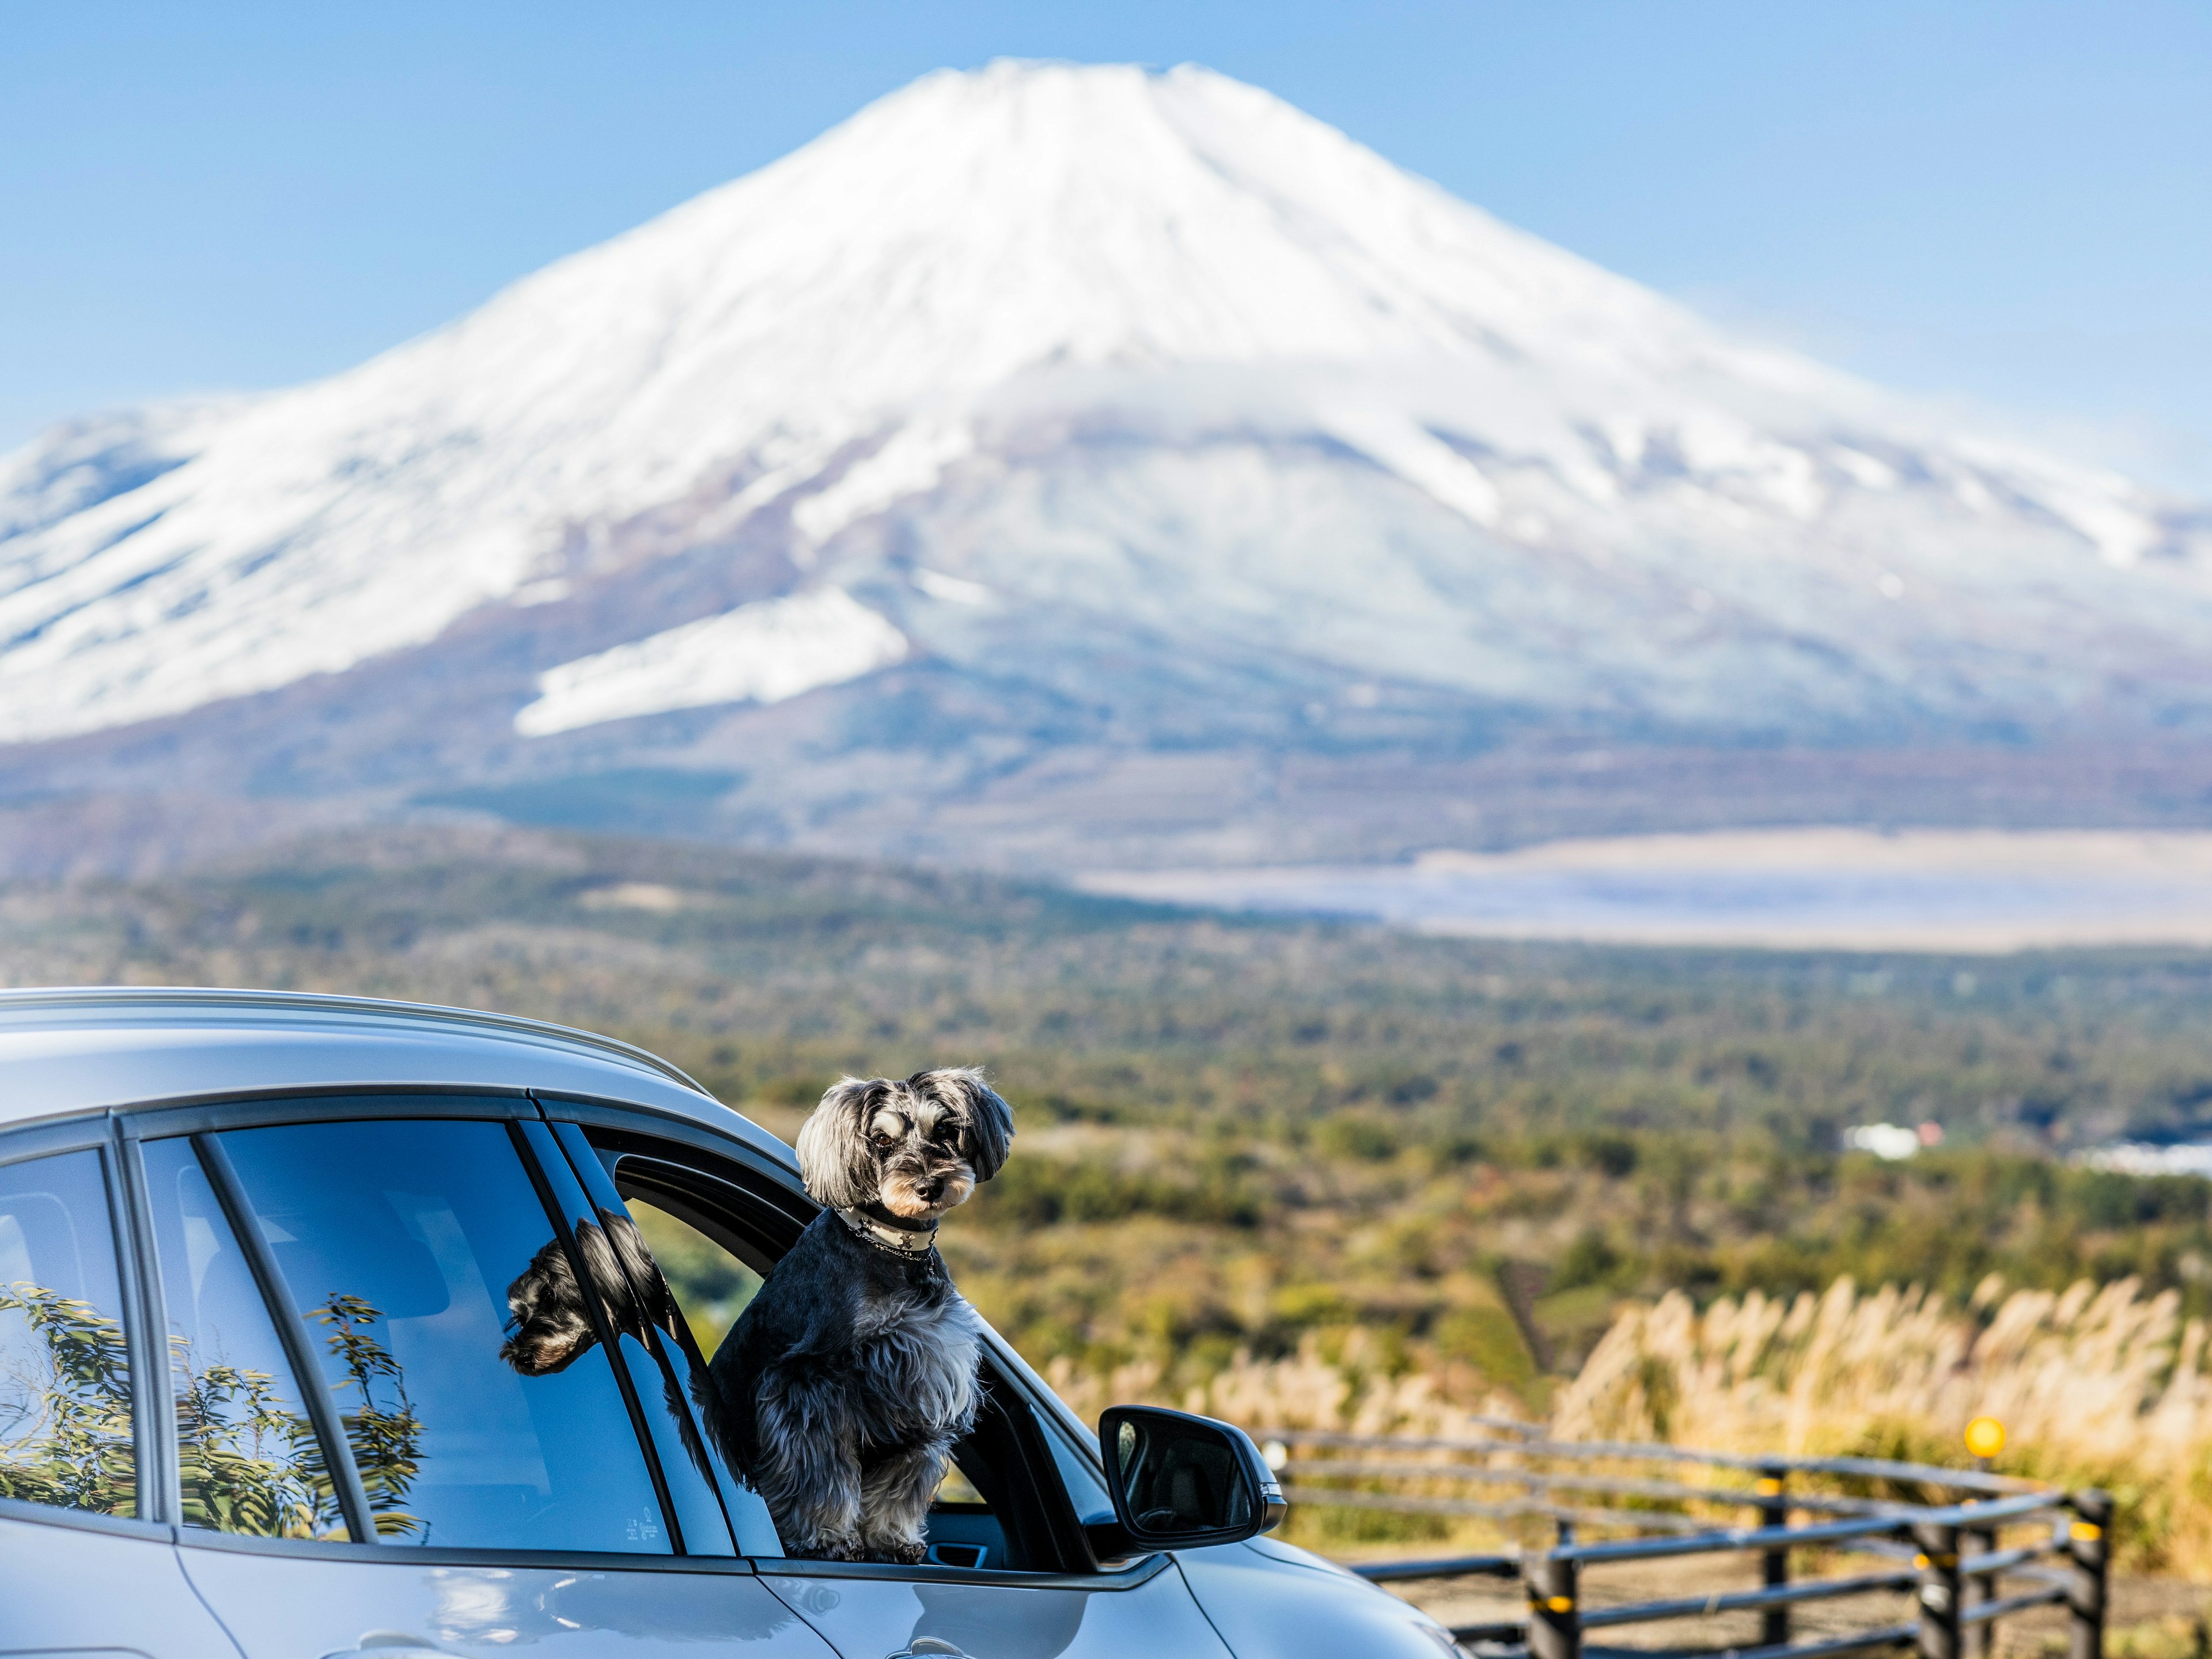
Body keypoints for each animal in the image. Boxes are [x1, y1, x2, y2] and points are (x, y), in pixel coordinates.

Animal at [712, 1070, 1013, 1566]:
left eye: (944, 1130)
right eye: (881, 1140)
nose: (930, 1186)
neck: (893, 1249)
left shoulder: (921, 1388)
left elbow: (900, 1483)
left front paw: (893, 1540)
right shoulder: (809, 1386)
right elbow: (821, 1473)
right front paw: (827, 1537)